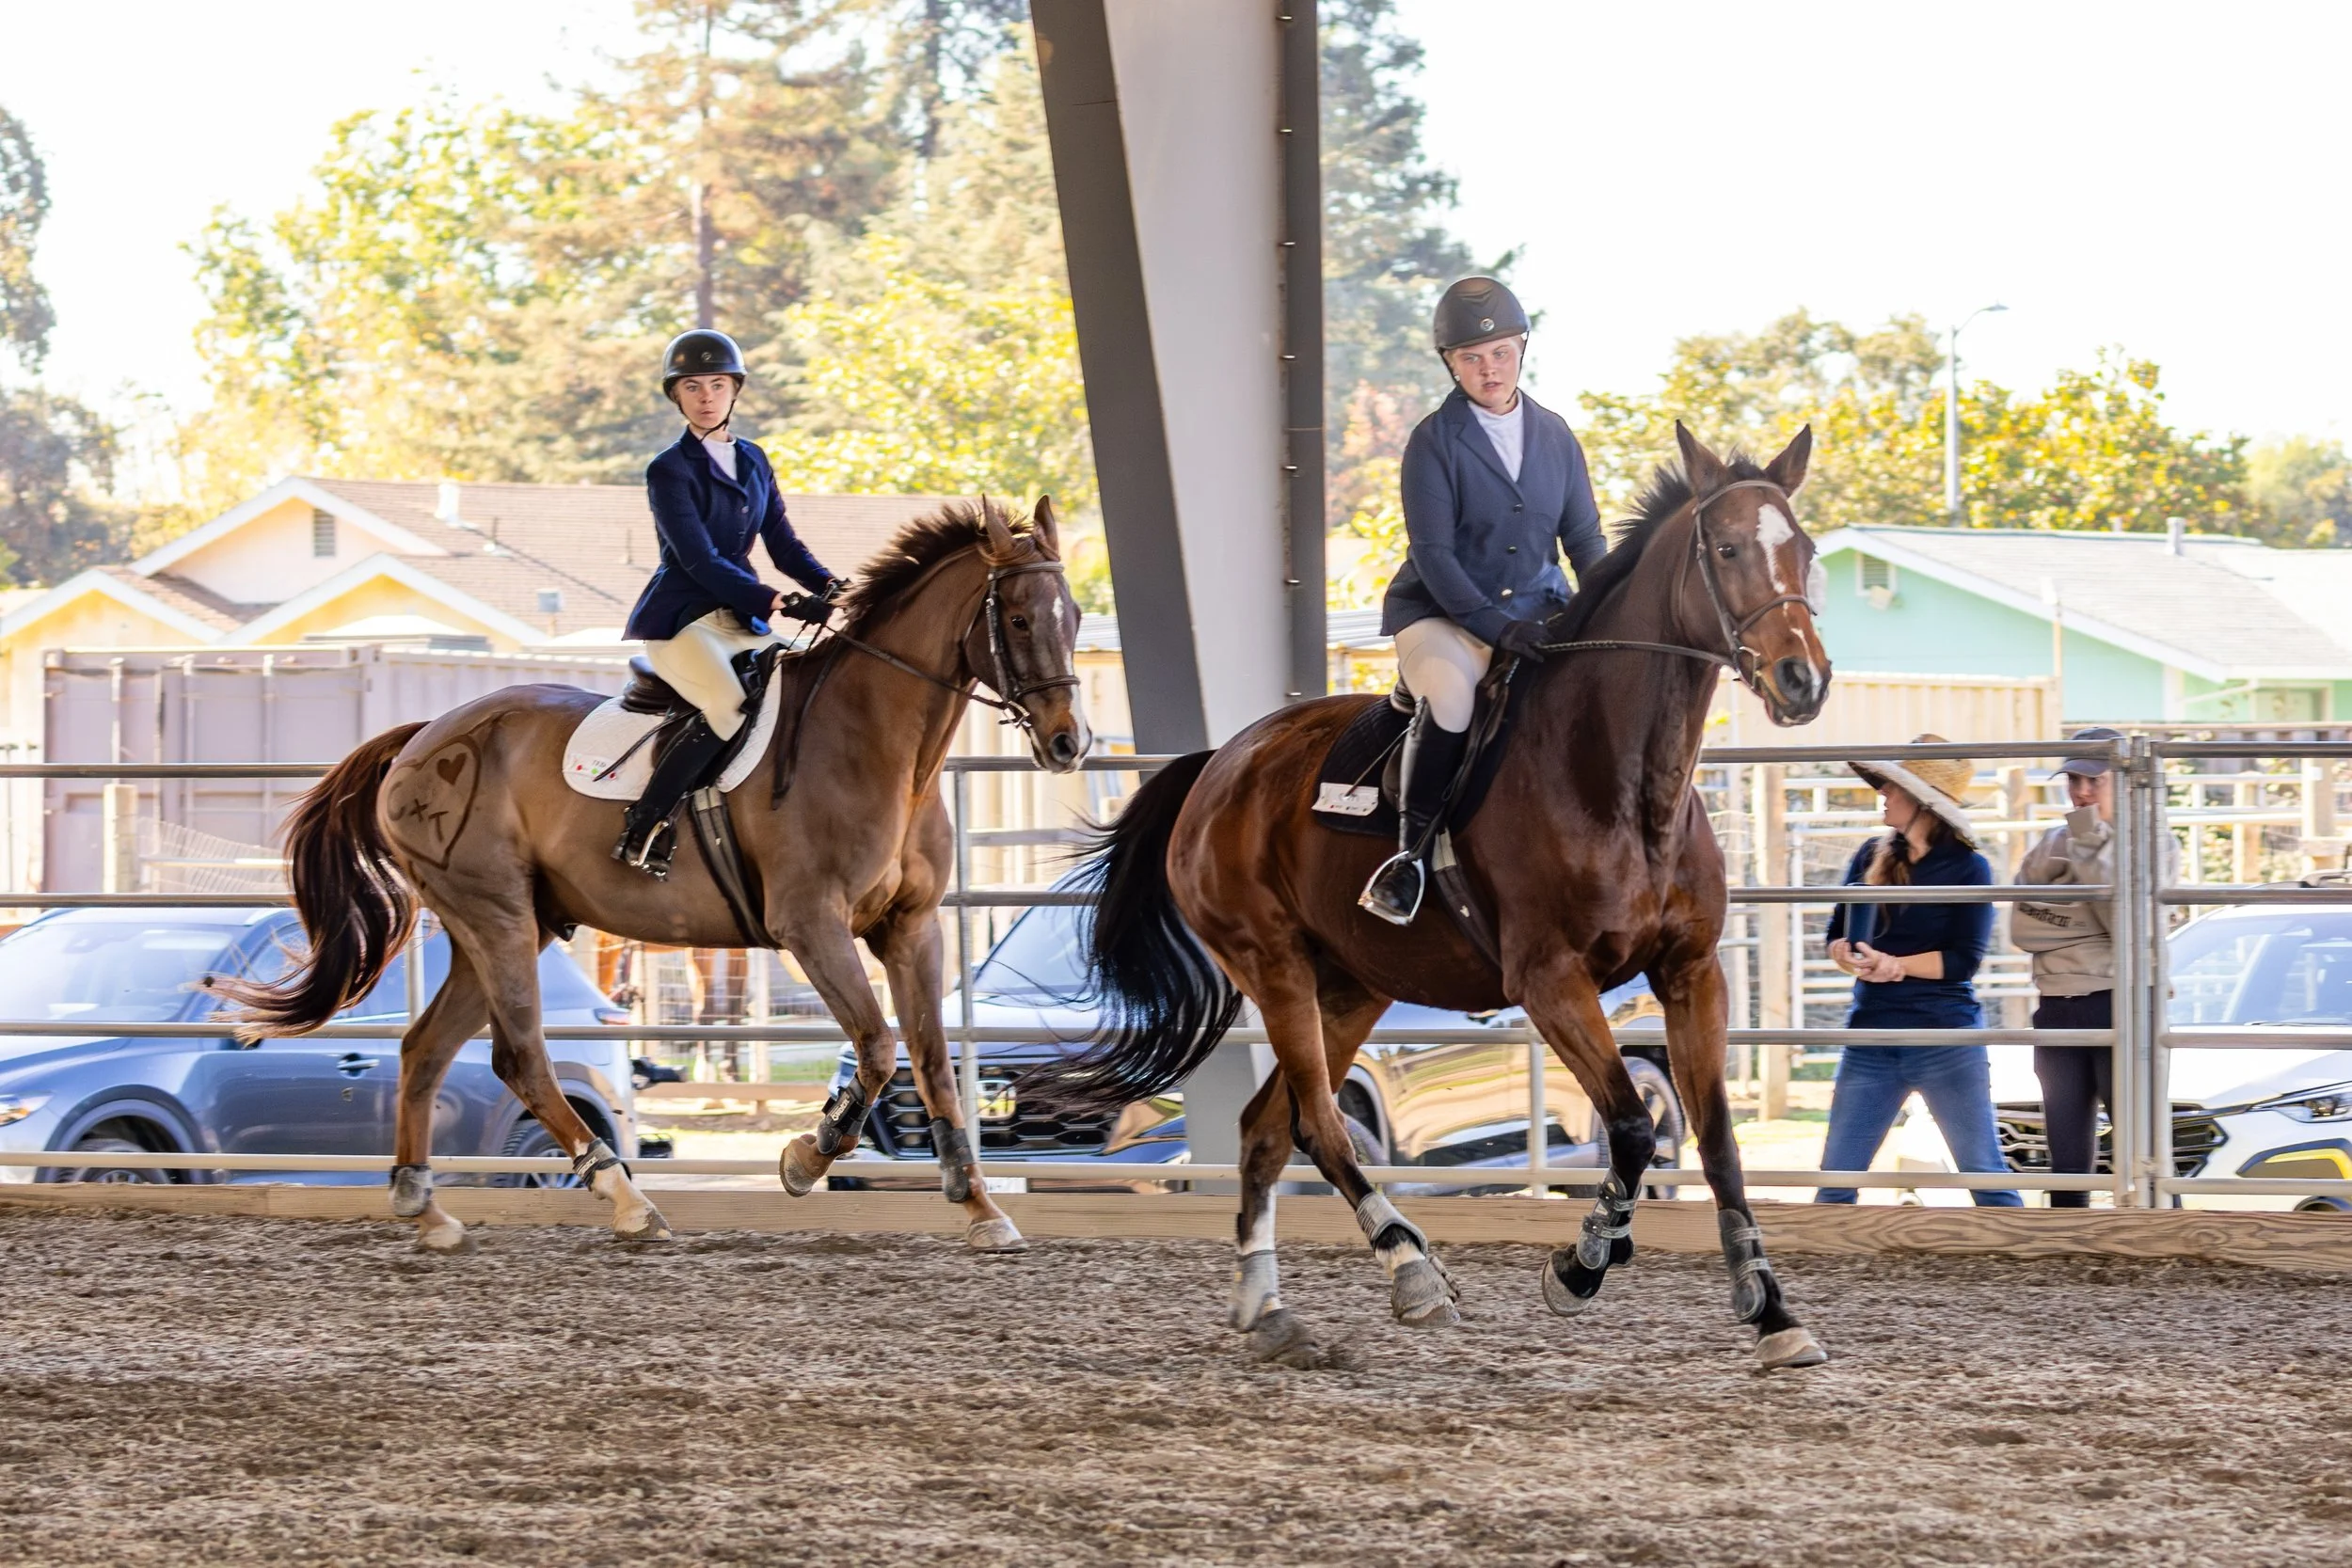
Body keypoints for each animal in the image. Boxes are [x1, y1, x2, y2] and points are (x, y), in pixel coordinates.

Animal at [213, 497, 1089, 1254]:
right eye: (1017, 618)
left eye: (1074, 617)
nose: (1069, 742)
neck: (878, 745)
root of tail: (425, 736)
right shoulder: (811, 924)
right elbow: (876, 1046)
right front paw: (804, 1157)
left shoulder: (910, 929)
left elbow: (933, 1061)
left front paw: (979, 1208)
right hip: (496, 915)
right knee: (520, 1056)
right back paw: (626, 1200)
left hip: (507, 923)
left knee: (427, 1049)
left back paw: (425, 1209)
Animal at [1029, 426, 1834, 1370]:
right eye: (1728, 549)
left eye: (1804, 549)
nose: (1802, 680)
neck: (1625, 782)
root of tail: (1220, 762)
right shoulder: (1550, 981)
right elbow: (1635, 1128)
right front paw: (1580, 1264)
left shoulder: (1691, 972)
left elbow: (1715, 1141)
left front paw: (1772, 1310)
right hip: (1276, 966)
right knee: (1320, 1125)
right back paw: (1411, 1271)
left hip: (1351, 986)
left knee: (1268, 1127)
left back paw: (1270, 1313)